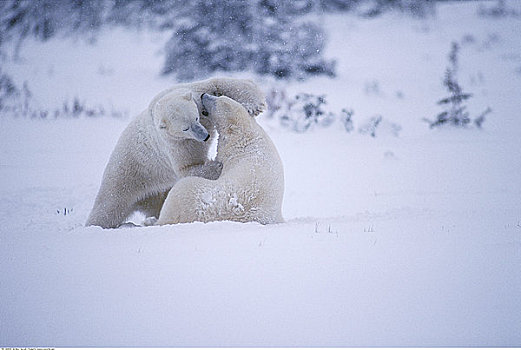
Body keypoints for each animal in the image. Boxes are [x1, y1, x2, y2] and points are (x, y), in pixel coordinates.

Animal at [86, 77, 266, 228]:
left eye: (196, 118)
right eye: (185, 128)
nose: (206, 136)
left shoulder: (195, 90)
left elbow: (219, 83)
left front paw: (255, 105)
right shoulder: (175, 144)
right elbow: (187, 167)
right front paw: (216, 165)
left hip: (155, 191)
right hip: (125, 176)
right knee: (107, 207)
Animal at [155, 91, 284, 226]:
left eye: (216, 102)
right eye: (219, 96)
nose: (203, 95)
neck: (245, 133)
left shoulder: (228, 149)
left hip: (187, 194)